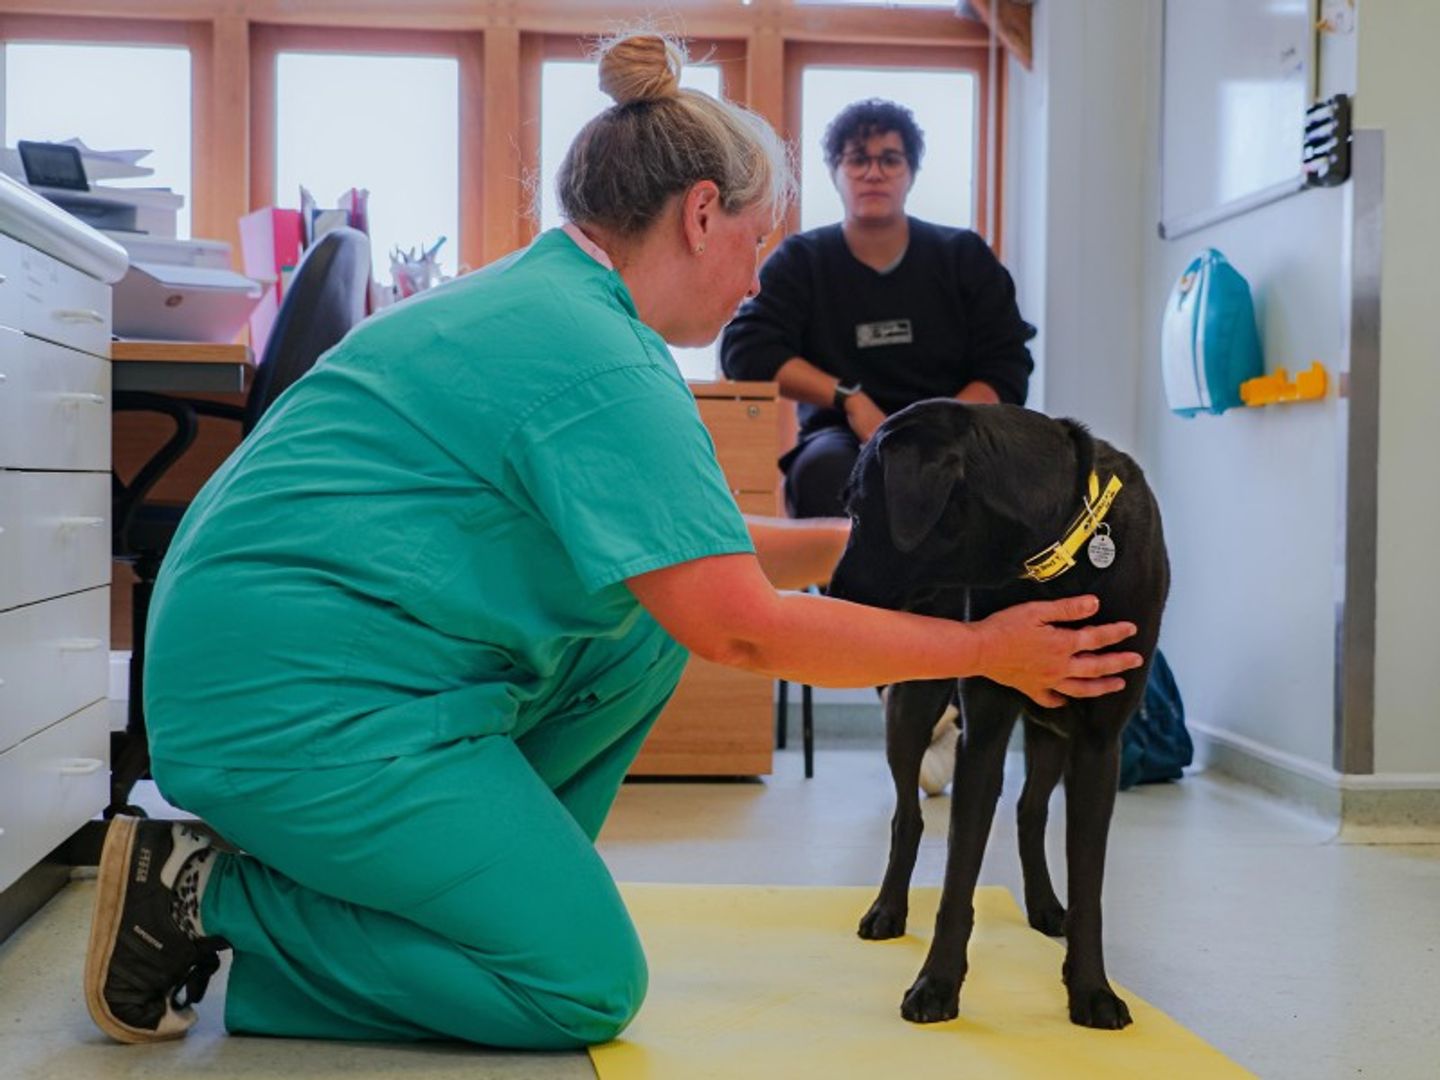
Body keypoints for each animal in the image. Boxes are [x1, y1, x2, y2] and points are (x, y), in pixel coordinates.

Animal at [829, 400, 1163, 1031]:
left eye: (858, 513)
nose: (831, 600)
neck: (1059, 543)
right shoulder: (982, 733)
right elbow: (957, 878)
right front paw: (936, 985)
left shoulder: (1098, 742)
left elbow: (1089, 883)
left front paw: (1091, 990)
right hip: (913, 701)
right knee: (908, 816)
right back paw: (887, 908)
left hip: (1051, 731)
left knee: (1031, 811)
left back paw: (1046, 905)